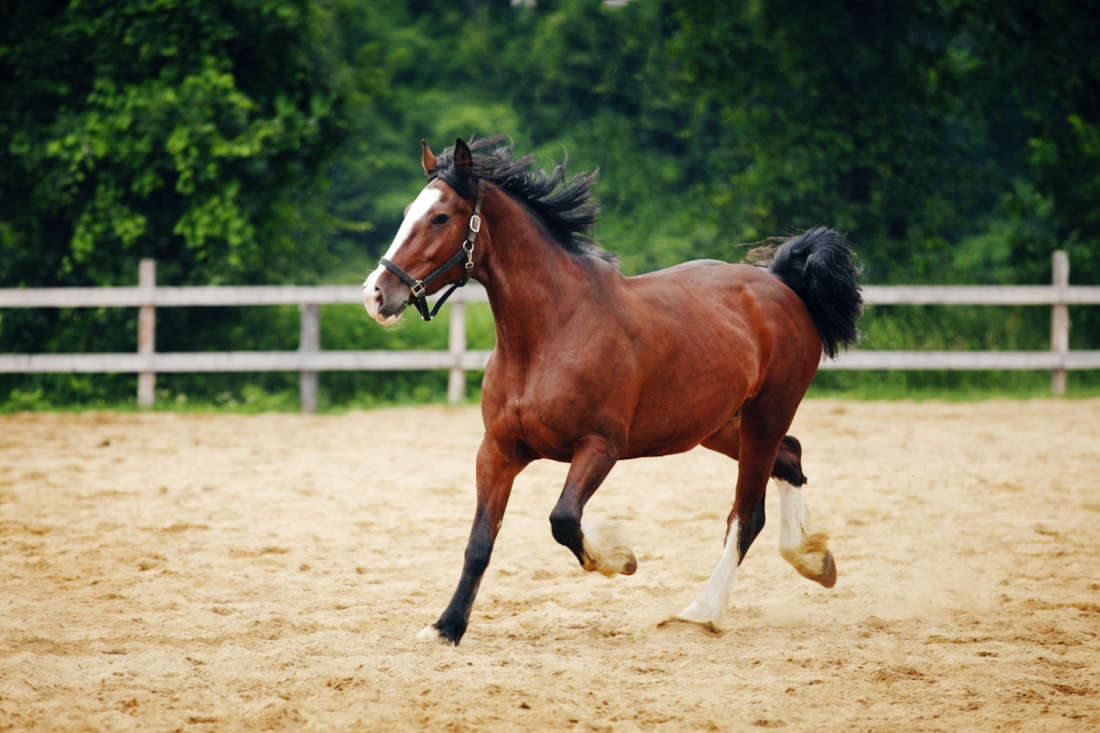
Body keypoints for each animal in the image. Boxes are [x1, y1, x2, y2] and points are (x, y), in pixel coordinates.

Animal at [362, 136, 861, 645]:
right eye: (408, 211)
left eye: (441, 217)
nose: (375, 295)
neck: (548, 335)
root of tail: (782, 285)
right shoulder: (498, 450)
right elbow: (480, 542)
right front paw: (446, 627)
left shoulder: (601, 446)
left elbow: (563, 520)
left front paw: (621, 560)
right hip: (719, 426)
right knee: (791, 457)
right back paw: (814, 560)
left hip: (767, 414)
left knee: (746, 514)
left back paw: (702, 612)